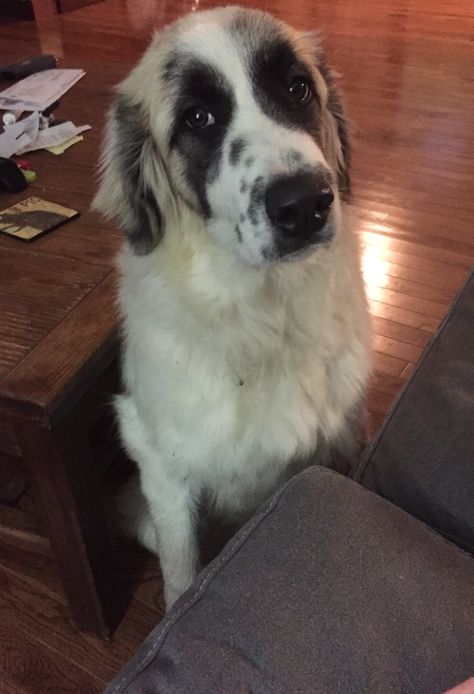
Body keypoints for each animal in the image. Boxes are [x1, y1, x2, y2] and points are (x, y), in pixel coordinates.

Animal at [94, 8, 372, 612]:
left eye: (297, 88)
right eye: (198, 118)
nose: (305, 204)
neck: (261, 321)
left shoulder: (333, 445)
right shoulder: (162, 470)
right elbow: (181, 573)